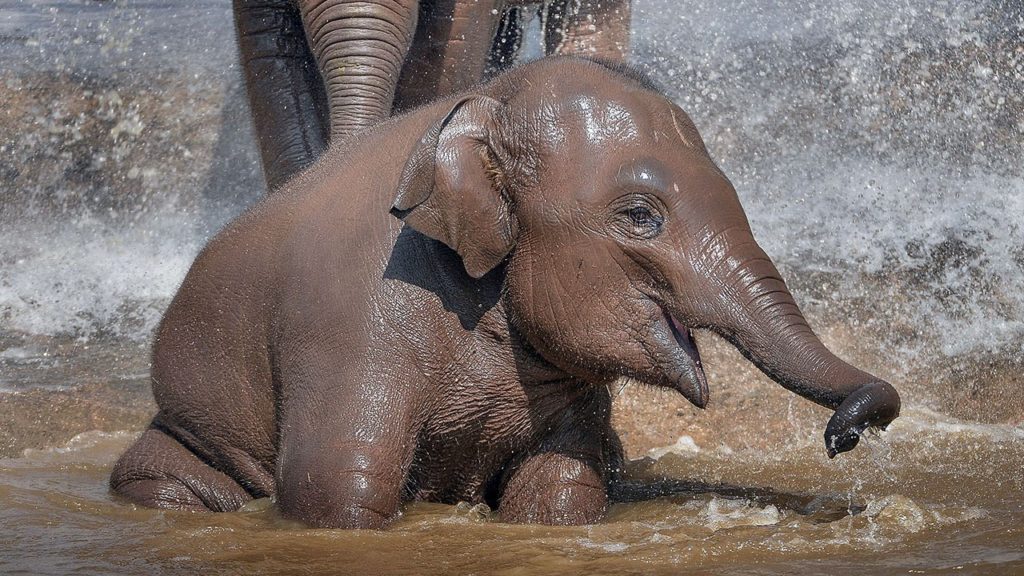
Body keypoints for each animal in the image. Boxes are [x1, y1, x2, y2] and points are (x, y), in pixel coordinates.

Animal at [108, 57, 901, 524]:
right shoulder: (351, 322)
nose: (843, 434)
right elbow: (336, 489)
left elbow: (561, 489)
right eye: (640, 216)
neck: (483, 103)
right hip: (189, 429)